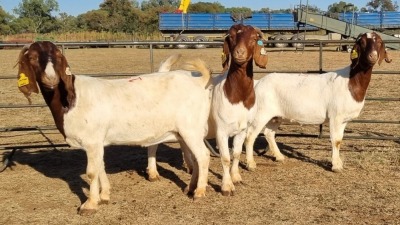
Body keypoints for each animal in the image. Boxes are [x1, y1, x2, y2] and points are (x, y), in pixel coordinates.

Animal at [16, 41, 212, 215]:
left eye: (57, 55)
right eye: (32, 57)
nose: (51, 79)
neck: (72, 98)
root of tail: (200, 80)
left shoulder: (92, 141)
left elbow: (92, 172)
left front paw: (90, 205)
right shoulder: (97, 142)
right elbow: (100, 166)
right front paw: (104, 195)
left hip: (191, 129)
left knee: (203, 156)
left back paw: (199, 192)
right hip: (184, 131)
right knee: (195, 158)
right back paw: (190, 187)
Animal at [211, 23, 268, 195]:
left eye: (254, 38)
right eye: (231, 36)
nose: (239, 52)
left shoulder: (243, 128)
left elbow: (236, 154)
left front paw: (236, 177)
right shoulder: (221, 130)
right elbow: (225, 158)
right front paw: (227, 186)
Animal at [245, 31, 392, 171]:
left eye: (379, 42)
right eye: (362, 42)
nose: (372, 56)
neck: (350, 82)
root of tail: (258, 83)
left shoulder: (344, 120)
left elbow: (340, 140)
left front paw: (339, 163)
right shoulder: (335, 116)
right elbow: (335, 140)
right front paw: (336, 166)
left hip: (276, 116)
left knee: (269, 133)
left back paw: (279, 157)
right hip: (260, 113)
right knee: (250, 135)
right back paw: (251, 164)